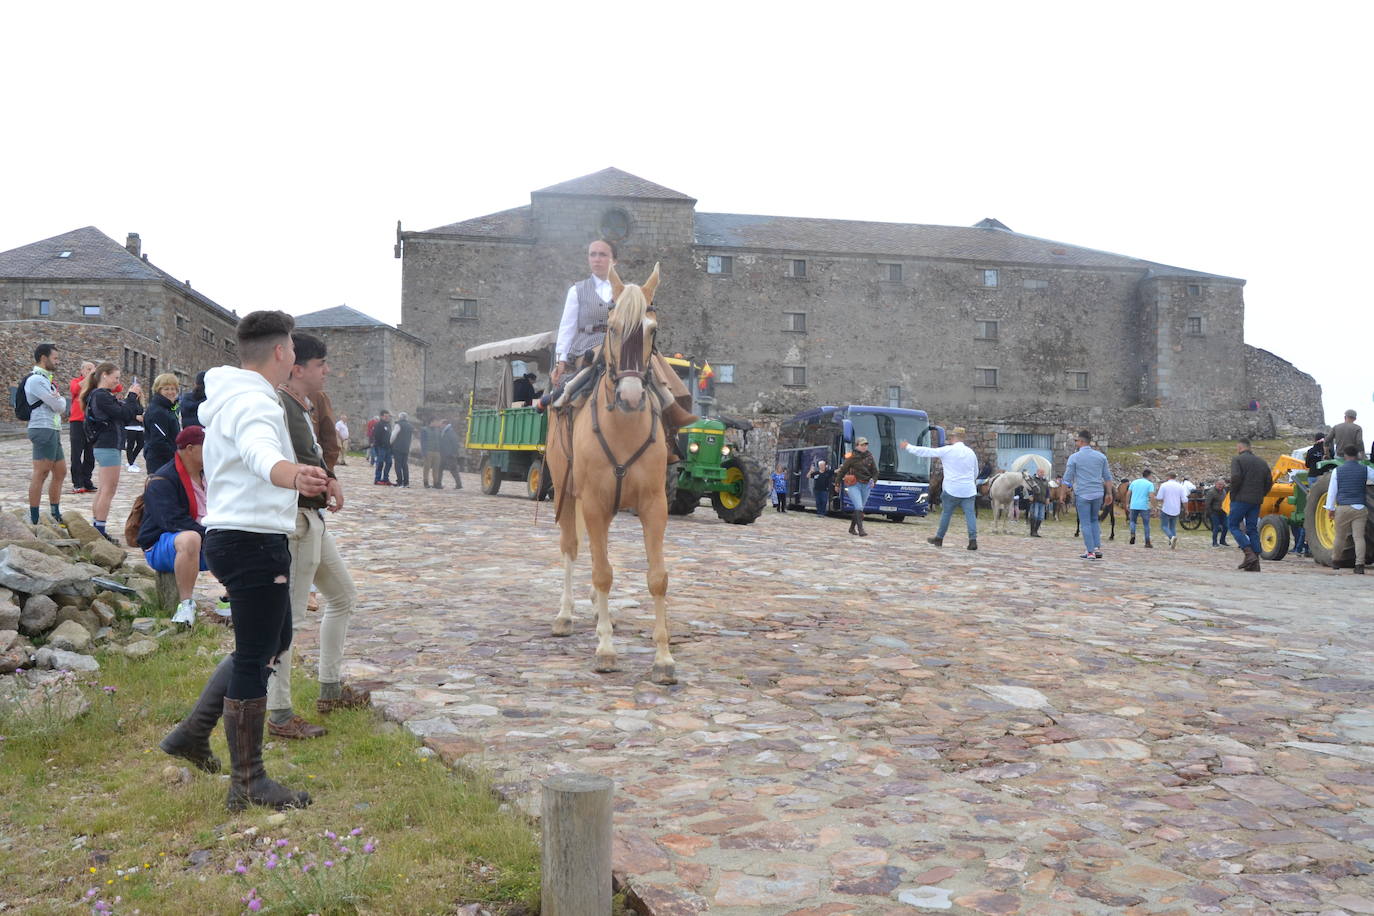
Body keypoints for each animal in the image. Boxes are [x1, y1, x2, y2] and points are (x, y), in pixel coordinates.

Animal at [544, 260, 678, 683]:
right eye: (613, 327)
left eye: (652, 330)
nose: (631, 396)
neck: (623, 425)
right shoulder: (593, 502)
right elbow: (602, 572)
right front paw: (605, 649)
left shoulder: (654, 506)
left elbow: (657, 577)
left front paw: (663, 658)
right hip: (568, 494)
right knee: (571, 548)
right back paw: (565, 614)